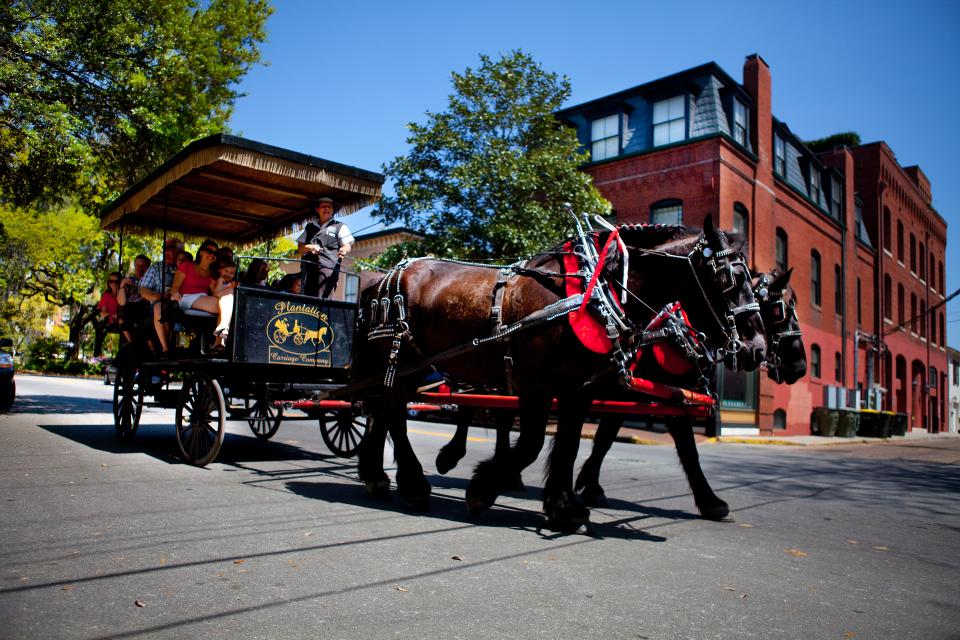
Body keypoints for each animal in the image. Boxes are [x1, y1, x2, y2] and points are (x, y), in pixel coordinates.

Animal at [352, 215, 764, 528]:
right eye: (729, 279)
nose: (756, 348)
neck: (592, 293)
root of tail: (380, 279)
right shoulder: (537, 384)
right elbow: (534, 442)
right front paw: (483, 489)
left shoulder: (577, 388)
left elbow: (569, 442)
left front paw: (564, 505)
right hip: (401, 362)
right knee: (393, 412)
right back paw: (414, 483)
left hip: (405, 367)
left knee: (382, 410)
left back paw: (377, 475)